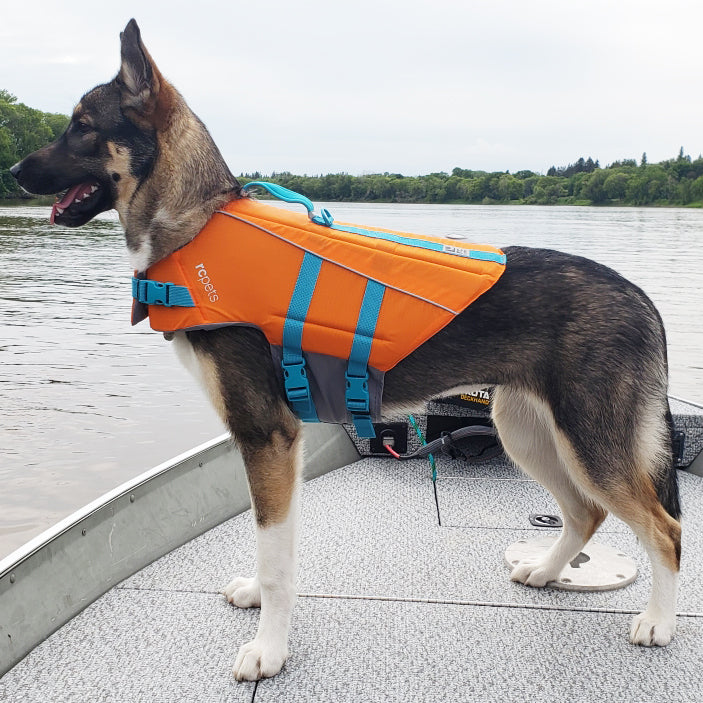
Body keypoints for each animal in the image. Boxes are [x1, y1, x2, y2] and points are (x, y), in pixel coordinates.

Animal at [9, 19, 680, 680]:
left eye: (82, 126)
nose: (14, 171)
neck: (198, 223)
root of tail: (639, 296)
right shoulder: (283, 443)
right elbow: (274, 548)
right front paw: (260, 603)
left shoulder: (267, 435)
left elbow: (276, 561)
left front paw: (269, 651)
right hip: (527, 430)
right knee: (585, 513)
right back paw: (544, 571)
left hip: (591, 445)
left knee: (665, 529)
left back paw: (658, 623)